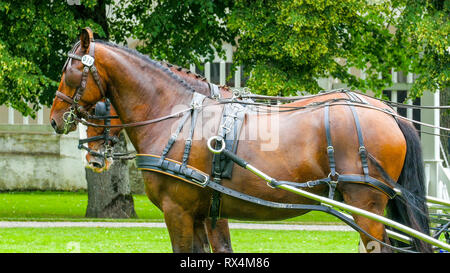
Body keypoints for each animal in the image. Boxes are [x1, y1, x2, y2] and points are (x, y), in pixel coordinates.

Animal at [50, 29, 432, 251]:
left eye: (68, 71)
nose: (55, 119)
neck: (176, 114)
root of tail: (388, 111)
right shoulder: (206, 213)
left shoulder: (178, 211)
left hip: (366, 207)